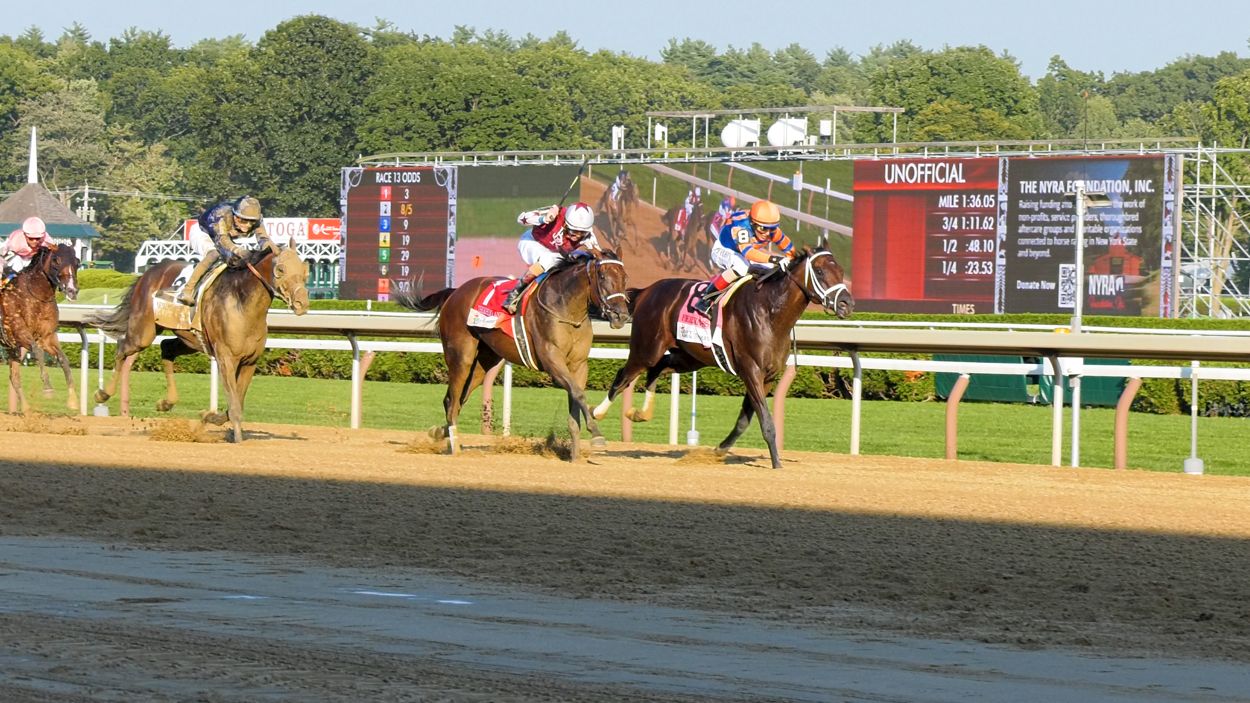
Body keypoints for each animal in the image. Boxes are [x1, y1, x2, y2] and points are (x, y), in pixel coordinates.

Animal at [0, 243, 80, 413]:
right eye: (56, 260)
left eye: (77, 261)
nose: (72, 291)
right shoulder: (21, 334)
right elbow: (38, 352)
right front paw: (48, 388)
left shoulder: (47, 337)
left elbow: (63, 359)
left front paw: (73, 400)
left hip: (11, 349)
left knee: (14, 377)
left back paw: (26, 408)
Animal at [86, 246, 309, 442]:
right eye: (280, 269)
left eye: (304, 269)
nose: (302, 303)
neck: (242, 302)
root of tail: (148, 272)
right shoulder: (226, 358)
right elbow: (235, 405)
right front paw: (237, 439)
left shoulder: (249, 362)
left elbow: (236, 402)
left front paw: (210, 417)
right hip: (143, 333)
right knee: (122, 348)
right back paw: (102, 394)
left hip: (189, 340)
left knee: (166, 348)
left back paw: (166, 403)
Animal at [394, 249, 631, 461]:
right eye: (603, 277)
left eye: (625, 278)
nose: (621, 316)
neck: (566, 308)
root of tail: (456, 291)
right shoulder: (552, 360)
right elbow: (579, 395)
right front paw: (597, 434)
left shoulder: (579, 365)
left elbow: (576, 396)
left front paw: (575, 454)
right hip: (461, 355)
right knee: (452, 399)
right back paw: (455, 446)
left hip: (484, 361)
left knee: (457, 398)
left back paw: (440, 432)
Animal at [591, 246, 853, 469]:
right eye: (819, 271)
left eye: (841, 271)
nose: (847, 303)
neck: (770, 313)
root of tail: (647, 290)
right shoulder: (750, 370)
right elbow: (766, 421)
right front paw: (777, 464)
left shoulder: (767, 376)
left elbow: (745, 420)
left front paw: (719, 450)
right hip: (647, 349)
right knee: (623, 377)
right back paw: (597, 415)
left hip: (688, 357)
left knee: (657, 369)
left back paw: (640, 413)